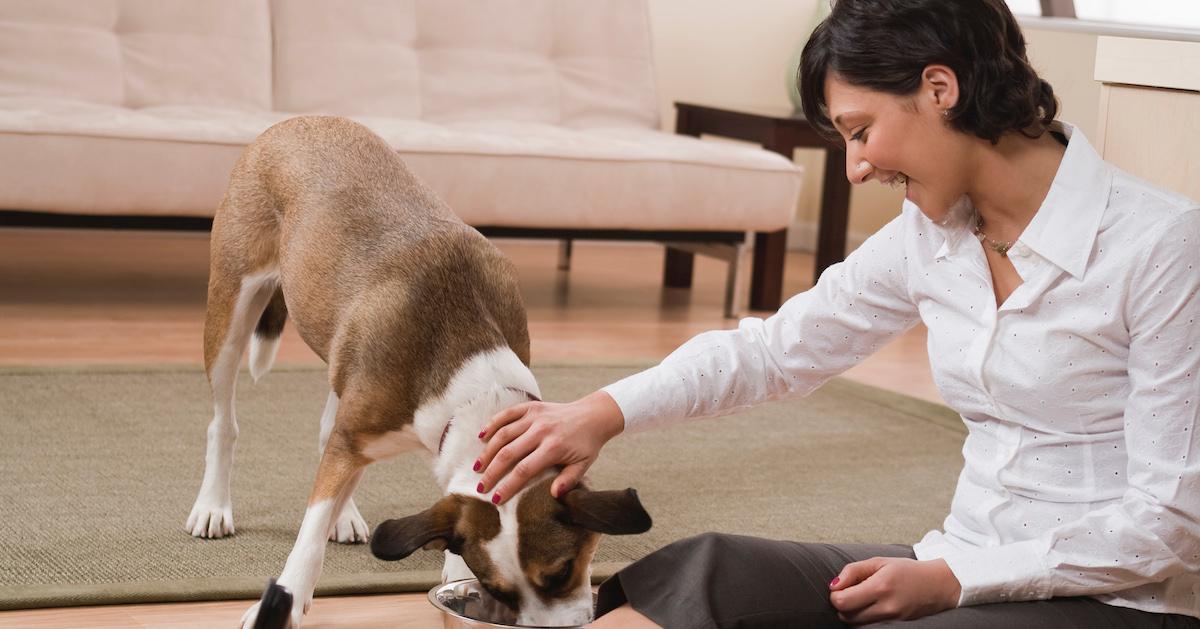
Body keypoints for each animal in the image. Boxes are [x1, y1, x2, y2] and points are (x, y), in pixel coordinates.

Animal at [186, 115, 652, 624]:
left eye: (564, 570)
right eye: (501, 590)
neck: (474, 387)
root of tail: (296, 121)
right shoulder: (359, 430)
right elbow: (310, 533)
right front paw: (285, 600)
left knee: (329, 424)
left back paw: (344, 514)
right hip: (231, 305)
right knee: (224, 421)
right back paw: (214, 504)